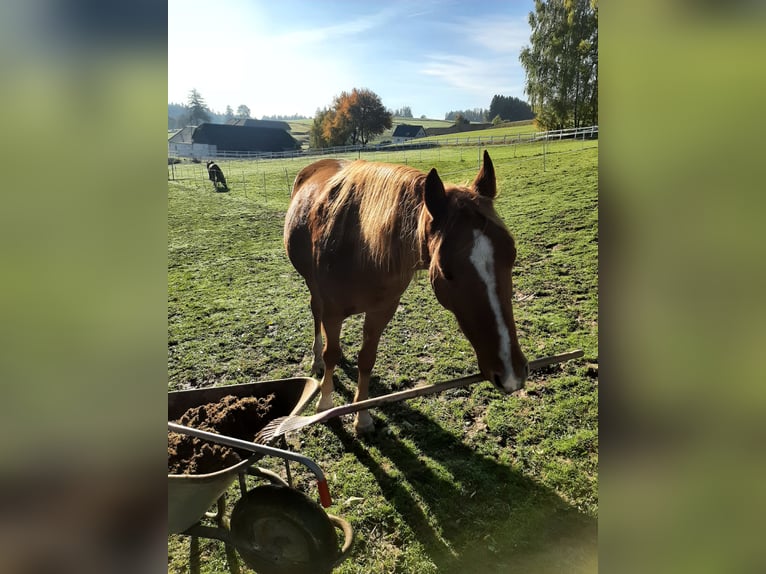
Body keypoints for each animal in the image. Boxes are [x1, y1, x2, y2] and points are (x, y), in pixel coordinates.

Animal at [284, 151, 532, 434]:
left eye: (512, 253)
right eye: (445, 270)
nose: (512, 374)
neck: (359, 246)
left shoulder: (382, 310)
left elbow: (366, 359)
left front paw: (362, 416)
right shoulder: (333, 310)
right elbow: (331, 353)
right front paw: (325, 403)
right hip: (313, 287)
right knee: (316, 313)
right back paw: (317, 360)